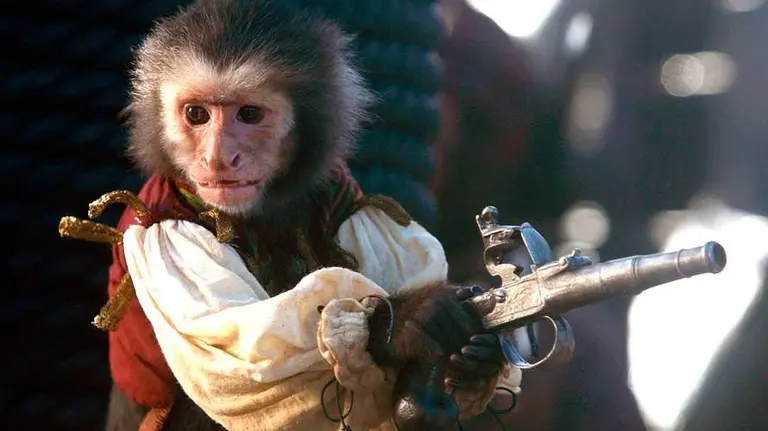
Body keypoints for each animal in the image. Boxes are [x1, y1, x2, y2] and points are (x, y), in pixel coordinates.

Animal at [99, 0, 508, 429]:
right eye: (197, 114)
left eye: (249, 114)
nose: (217, 158)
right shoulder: (158, 224)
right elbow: (250, 359)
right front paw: (405, 322)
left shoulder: (347, 193)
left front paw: (475, 362)